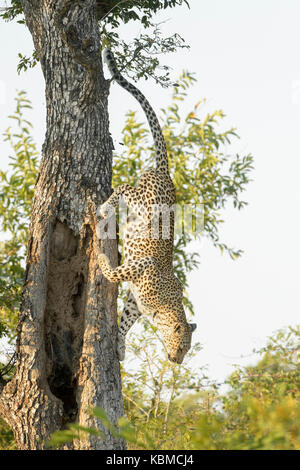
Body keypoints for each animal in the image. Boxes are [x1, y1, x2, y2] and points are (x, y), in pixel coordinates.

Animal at [98, 48, 197, 364]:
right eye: (182, 346)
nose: (177, 361)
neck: (163, 310)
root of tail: (166, 173)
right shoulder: (142, 266)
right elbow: (113, 273)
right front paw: (103, 260)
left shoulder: (135, 302)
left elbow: (126, 322)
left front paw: (119, 347)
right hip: (139, 200)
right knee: (122, 188)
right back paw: (104, 207)